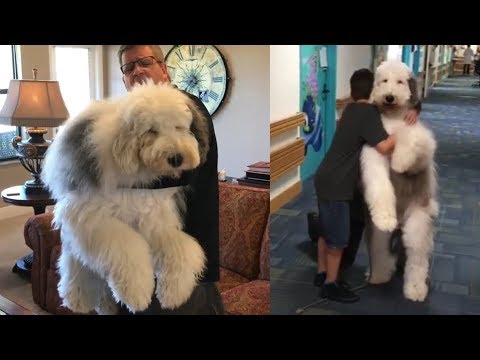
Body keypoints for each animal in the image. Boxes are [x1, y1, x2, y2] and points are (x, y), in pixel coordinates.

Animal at [42, 80, 210, 314]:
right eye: (151, 130)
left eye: (179, 127)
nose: (176, 158)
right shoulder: (94, 219)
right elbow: (127, 249)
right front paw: (137, 294)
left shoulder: (155, 219)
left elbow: (181, 248)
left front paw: (174, 293)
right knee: (74, 264)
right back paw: (77, 299)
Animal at [360, 60, 438, 302]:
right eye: (384, 80)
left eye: (401, 82)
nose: (389, 97)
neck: (392, 120)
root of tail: (402, 222)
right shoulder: (373, 155)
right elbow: (379, 183)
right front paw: (384, 217)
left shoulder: (421, 145)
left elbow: (407, 138)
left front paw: (399, 163)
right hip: (378, 235)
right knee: (381, 253)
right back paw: (378, 276)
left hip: (417, 227)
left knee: (417, 260)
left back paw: (415, 290)